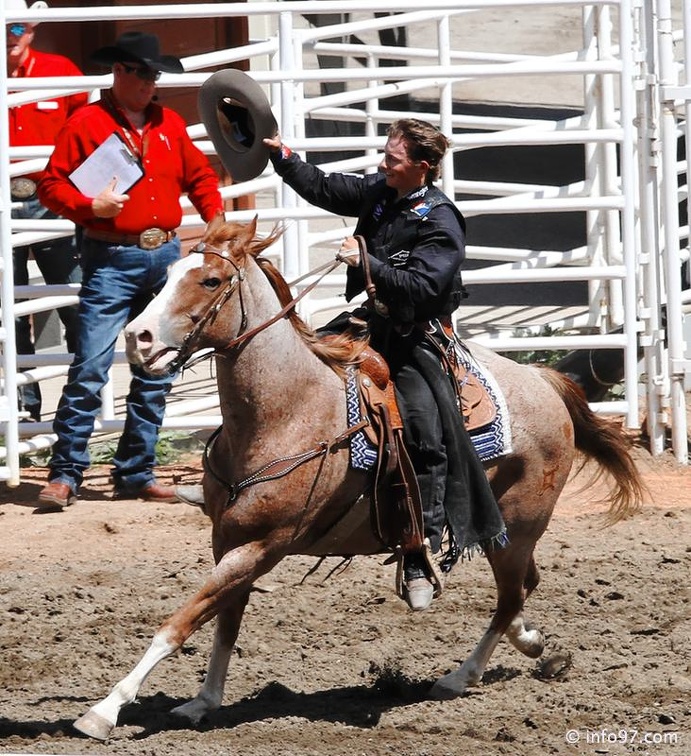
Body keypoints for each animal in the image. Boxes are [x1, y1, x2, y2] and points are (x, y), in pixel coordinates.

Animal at [73, 216, 648, 740]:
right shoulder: (228, 539)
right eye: (169, 273)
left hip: (519, 523)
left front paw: (104, 711)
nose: (137, 339)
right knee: (524, 589)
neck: (287, 410)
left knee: (510, 596)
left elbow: (181, 622)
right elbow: (225, 622)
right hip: (510, 532)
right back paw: (533, 646)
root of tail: (545, 379)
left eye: (211, 280)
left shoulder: (262, 545)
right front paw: (203, 701)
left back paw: (459, 677)